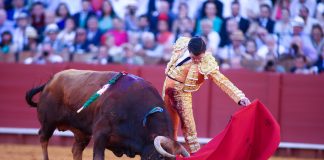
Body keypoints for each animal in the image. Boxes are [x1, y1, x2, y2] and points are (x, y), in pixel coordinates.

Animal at [25, 69, 189, 160]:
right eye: (161, 157)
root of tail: (50, 80)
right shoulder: (100, 134)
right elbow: (98, 157)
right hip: (48, 122)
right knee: (43, 138)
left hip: (82, 132)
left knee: (76, 149)